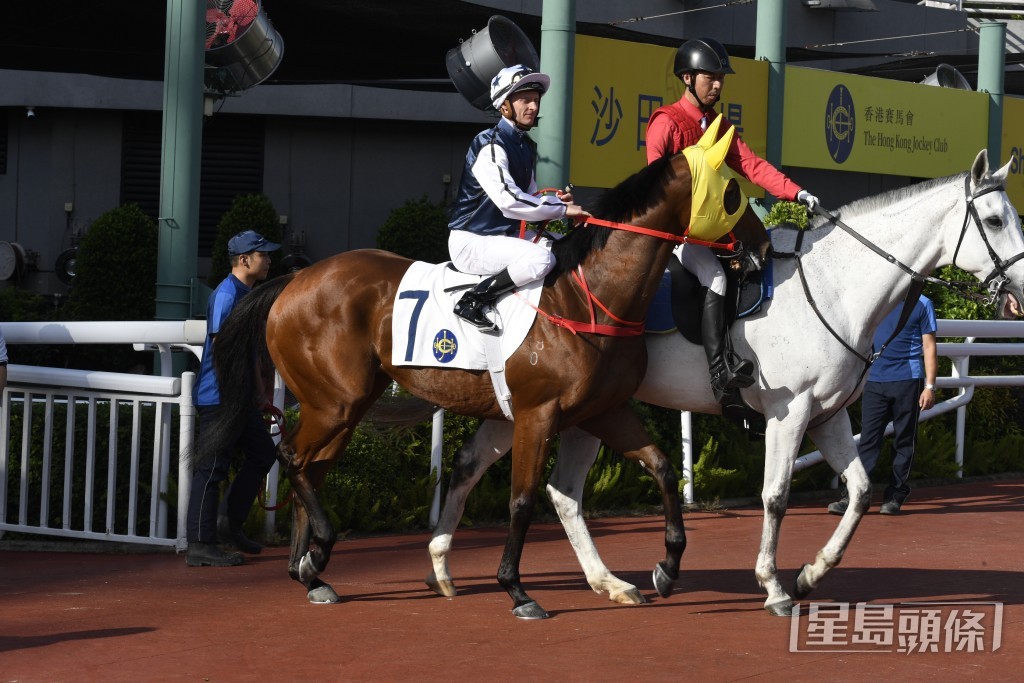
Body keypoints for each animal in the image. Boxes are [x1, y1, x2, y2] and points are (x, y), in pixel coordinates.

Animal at [205, 147, 770, 618]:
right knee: (293, 458)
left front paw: (667, 568)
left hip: (344, 404)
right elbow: (521, 500)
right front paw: (516, 590)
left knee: (312, 467)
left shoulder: (605, 409)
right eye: (733, 192)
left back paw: (311, 572)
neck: (589, 296)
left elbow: (661, 468)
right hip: (334, 402)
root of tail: (292, 279)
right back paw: (318, 549)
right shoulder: (536, 412)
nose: (763, 246)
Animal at [423, 150, 1024, 618]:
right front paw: (774, 585)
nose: (1018, 291)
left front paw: (811, 572)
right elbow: (776, 496)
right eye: (995, 220)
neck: (834, 285)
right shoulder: (790, 413)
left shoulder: (828, 415)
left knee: (511, 475)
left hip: (552, 410)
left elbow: (858, 492)